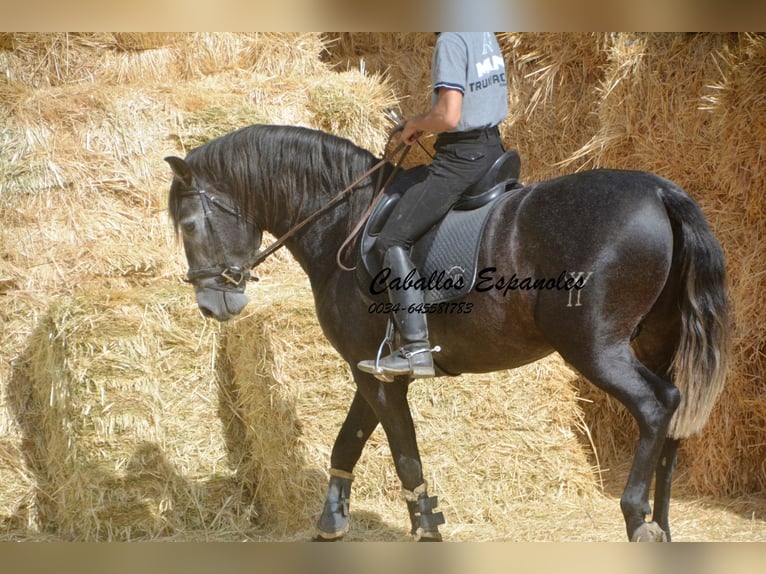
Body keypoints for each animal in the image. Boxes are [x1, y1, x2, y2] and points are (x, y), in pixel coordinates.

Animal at [166, 124, 732, 544]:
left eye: (189, 224)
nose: (212, 303)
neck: (346, 220)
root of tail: (658, 191)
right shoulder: (371, 367)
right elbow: (347, 443)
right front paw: (332, 520)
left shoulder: (376, 374)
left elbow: (403, 453)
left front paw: (425, 526)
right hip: (654, 343)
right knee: (675, 408)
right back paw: (662, 520)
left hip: (596, 349)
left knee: (657, 405)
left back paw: (637, 517)